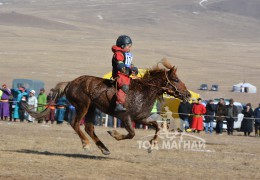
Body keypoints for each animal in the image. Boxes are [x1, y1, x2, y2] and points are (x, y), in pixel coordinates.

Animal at [23, 58, 190, 155]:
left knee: (89, 127)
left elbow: (157, 126)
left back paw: (104, 149)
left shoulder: (141, 119)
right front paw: (114, 133)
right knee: (75, 123)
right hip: (83, 105)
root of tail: (70, 83)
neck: (143, 92)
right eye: (175, 79)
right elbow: (131, 134)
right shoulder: (126, 117)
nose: (188, 95)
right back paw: (86, 144)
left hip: (91, 108)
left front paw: (152, 146)